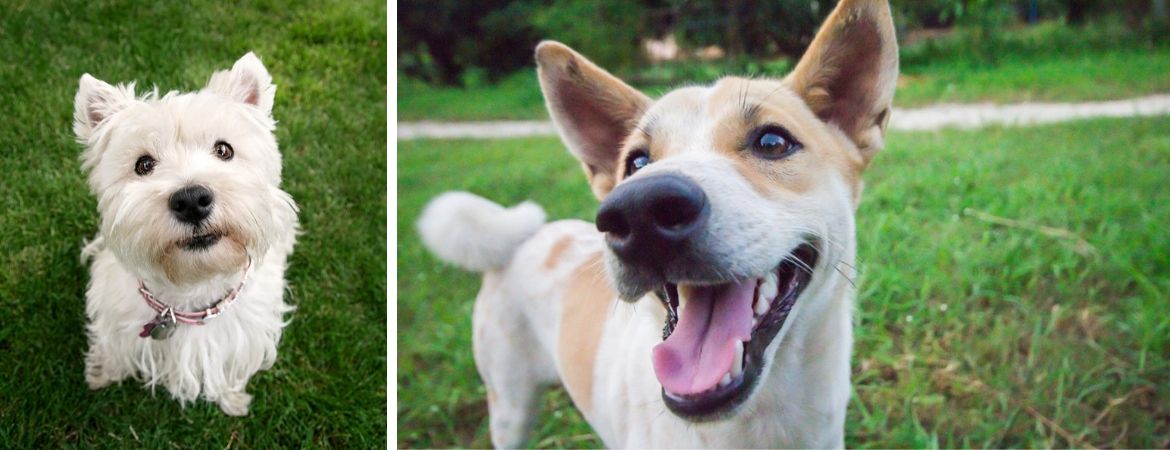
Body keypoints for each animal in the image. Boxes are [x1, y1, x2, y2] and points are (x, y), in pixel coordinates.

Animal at [74, 52, 299, 413]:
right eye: (143, 165)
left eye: (224, 150)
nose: (191, 200)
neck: (189, 292)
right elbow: (113, 349)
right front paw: (101, 373)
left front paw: (233, 399)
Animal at [418, 0, 893, 444]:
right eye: (636, 162)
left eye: (773, 142)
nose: (639, 210)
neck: (754, 423)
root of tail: (526, 236)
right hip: (510, 406)